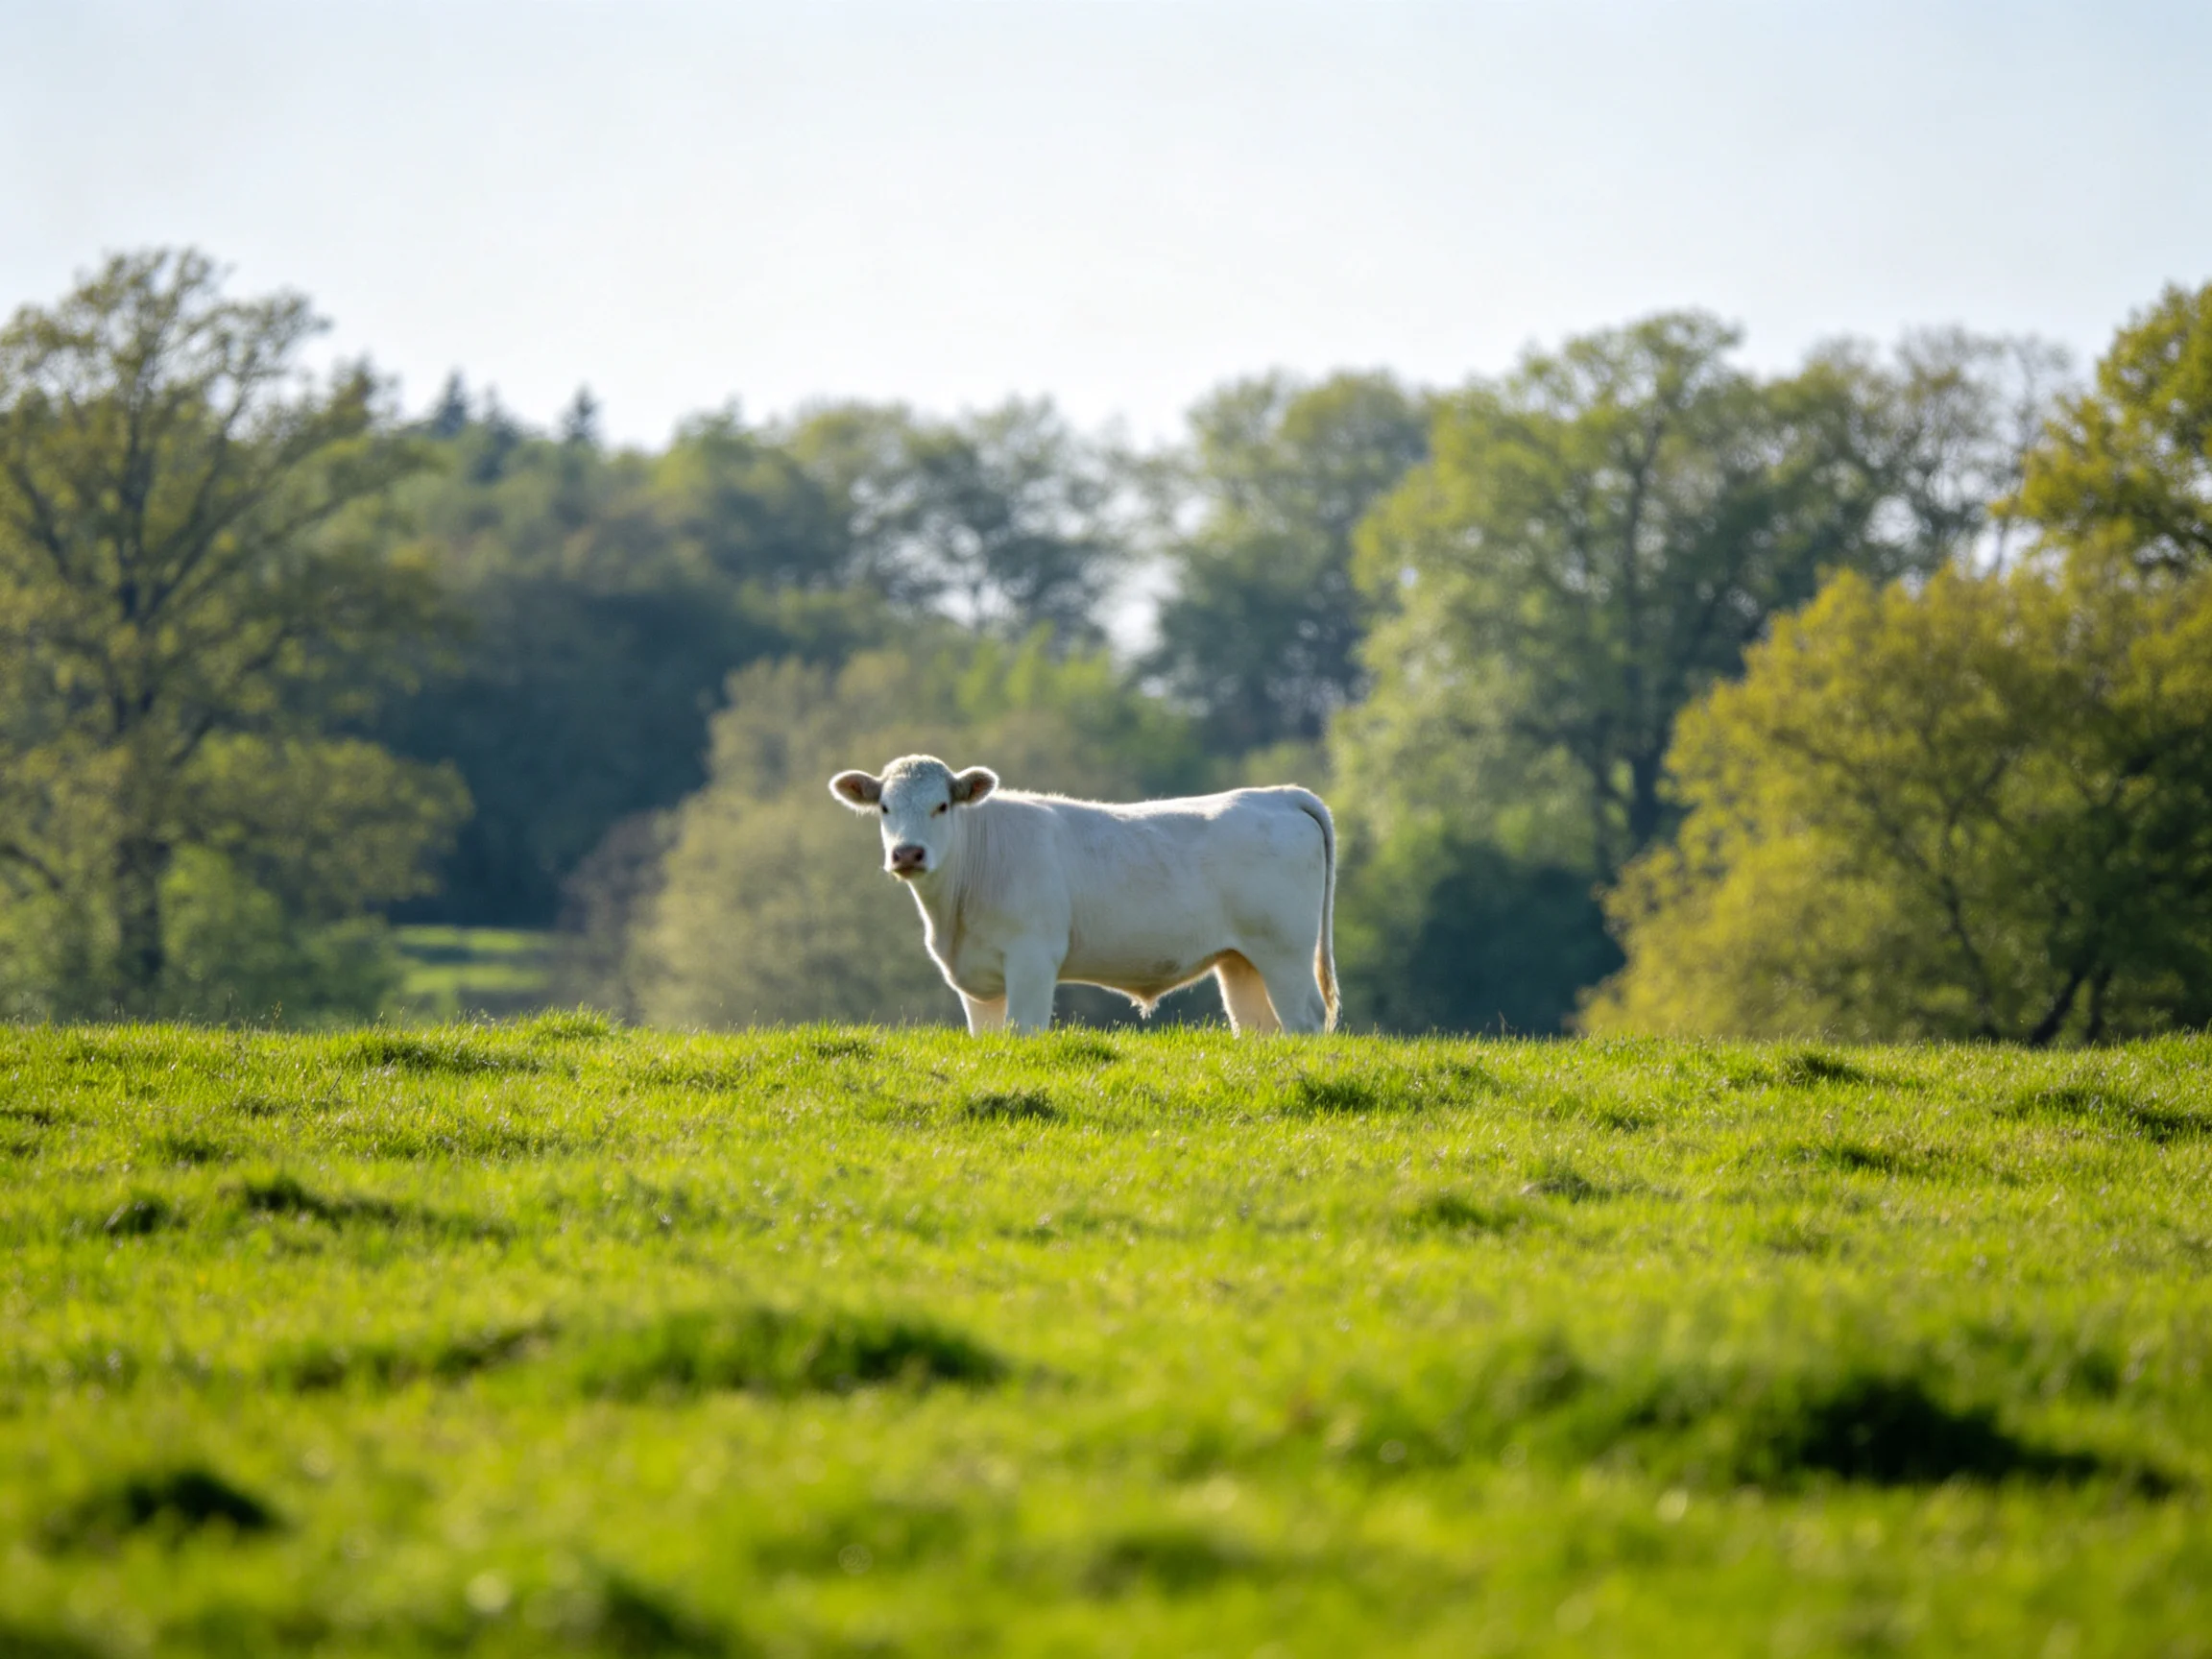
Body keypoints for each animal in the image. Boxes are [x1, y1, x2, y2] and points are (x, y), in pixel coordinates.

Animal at [827, 754, 1338, 1035]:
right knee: (1260, 1028)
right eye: (885, 807)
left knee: (1306, 1020)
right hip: (1241, 961)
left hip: (1285, 951)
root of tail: (1276, 794)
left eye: (942, 805)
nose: (907, 853)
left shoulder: (1033, 959)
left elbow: (1023, 1031)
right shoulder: (977, 984)